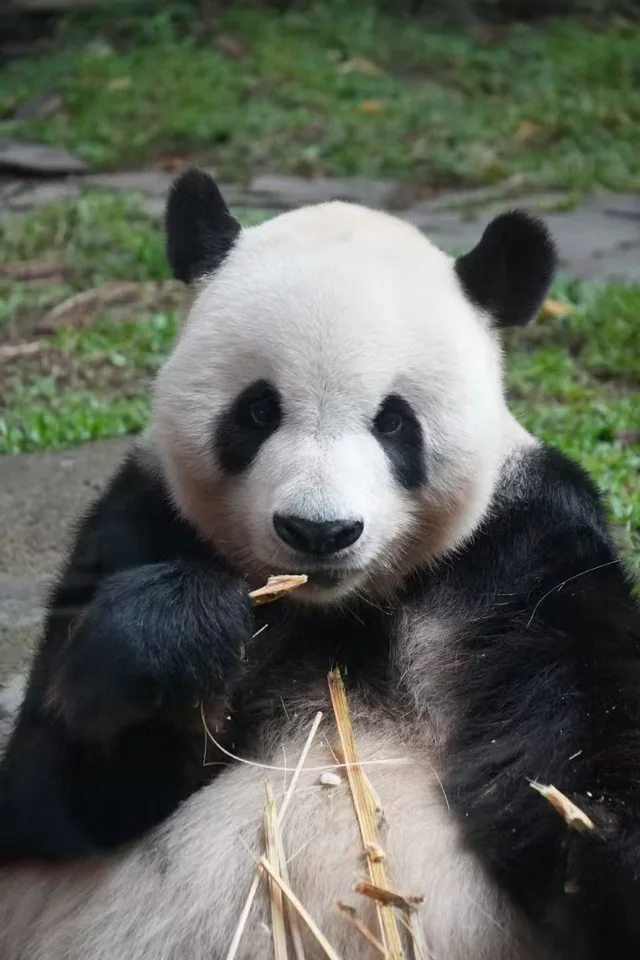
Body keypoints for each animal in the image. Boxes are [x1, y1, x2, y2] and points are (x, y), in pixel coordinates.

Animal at [0, 167, 639, 960]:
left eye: (394, 421)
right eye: (257, 411)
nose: (319, 531)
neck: (339, 608)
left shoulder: (526, 552)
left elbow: (580, 738)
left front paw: (595, 843)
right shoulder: (140, 521)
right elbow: (48, 798)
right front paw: (179, 630)